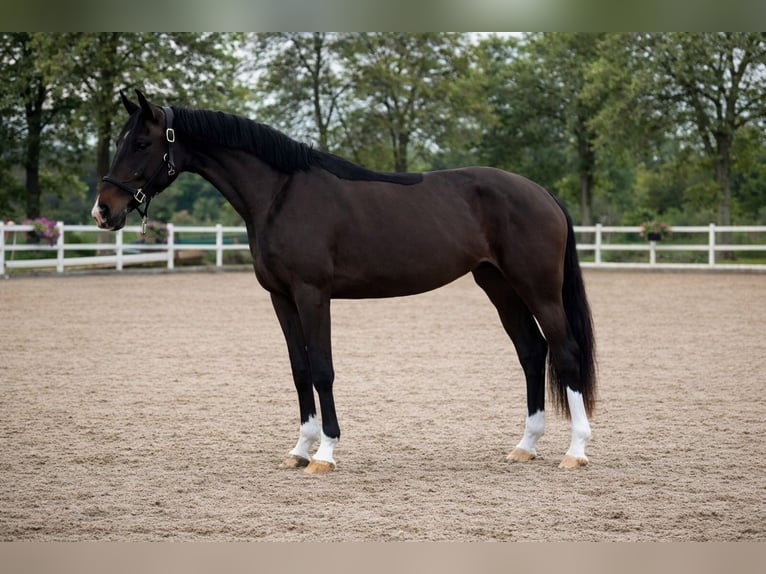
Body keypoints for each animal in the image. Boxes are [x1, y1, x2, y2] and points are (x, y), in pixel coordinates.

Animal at [92, 89, 597, 473]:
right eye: (121, 139)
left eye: (141, 142)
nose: (104, 210)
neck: (280, 194)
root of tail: (542, 193)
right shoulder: (281, 298)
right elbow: (299, 370)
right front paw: (299, 450)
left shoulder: (313, 294)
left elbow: (323, 369)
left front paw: (326, 453)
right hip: (498, 285)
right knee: (531, 352)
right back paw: (526, 446)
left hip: (539, 289)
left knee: (565, 352)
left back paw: (575, 451)